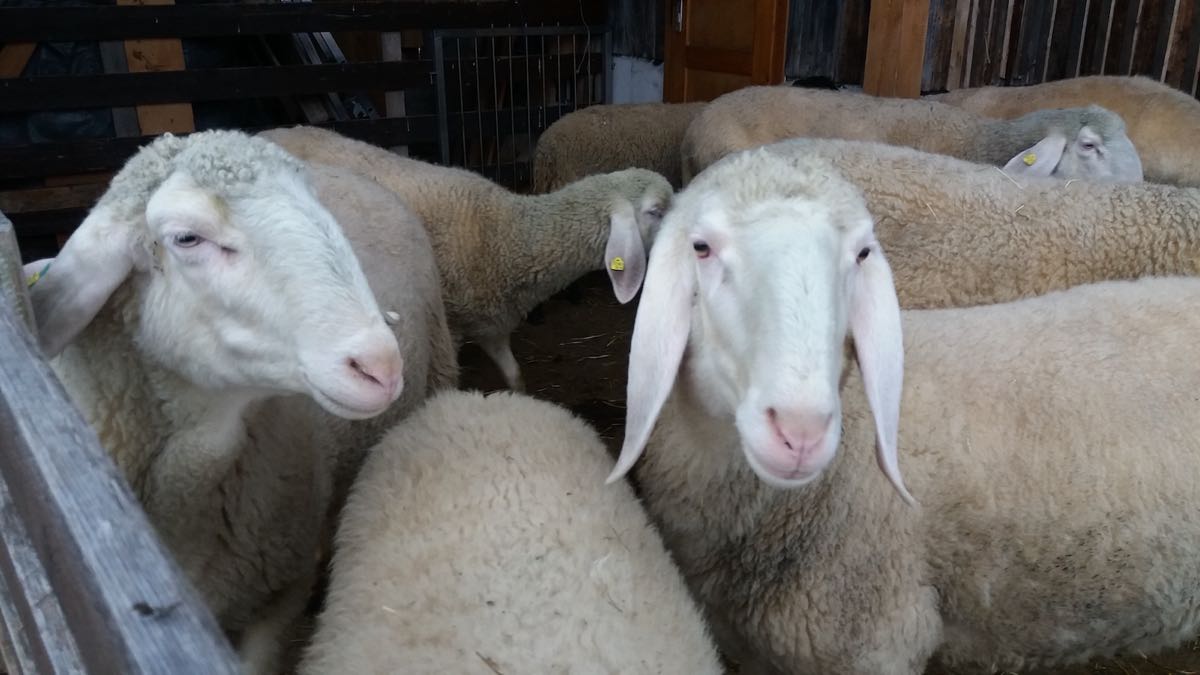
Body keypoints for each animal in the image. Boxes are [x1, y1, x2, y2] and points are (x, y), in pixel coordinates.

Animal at [259, 125, 673, 391]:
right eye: (656, 210)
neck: (508, 236)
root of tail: (271, 132)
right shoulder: (448, 329)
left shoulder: (493, 324)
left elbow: (516, 376)